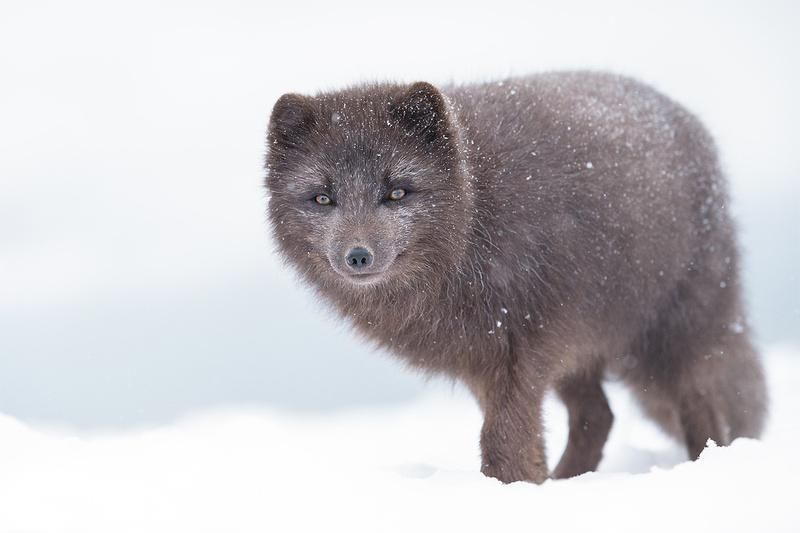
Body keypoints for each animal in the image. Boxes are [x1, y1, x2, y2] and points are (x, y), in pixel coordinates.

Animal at [264, 71, 767, 483]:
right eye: (323, 198)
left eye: (397, 192)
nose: (357, 256)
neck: (475, 219)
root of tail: (689, 121)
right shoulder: (481, 358)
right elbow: (515, 433)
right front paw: (528, 486)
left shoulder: (522, 345)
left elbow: (503, 438)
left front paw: (512, 489)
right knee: (598, 416)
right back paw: (567, 482)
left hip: (672, 330)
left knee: (699, 404)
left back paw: (702, 464)